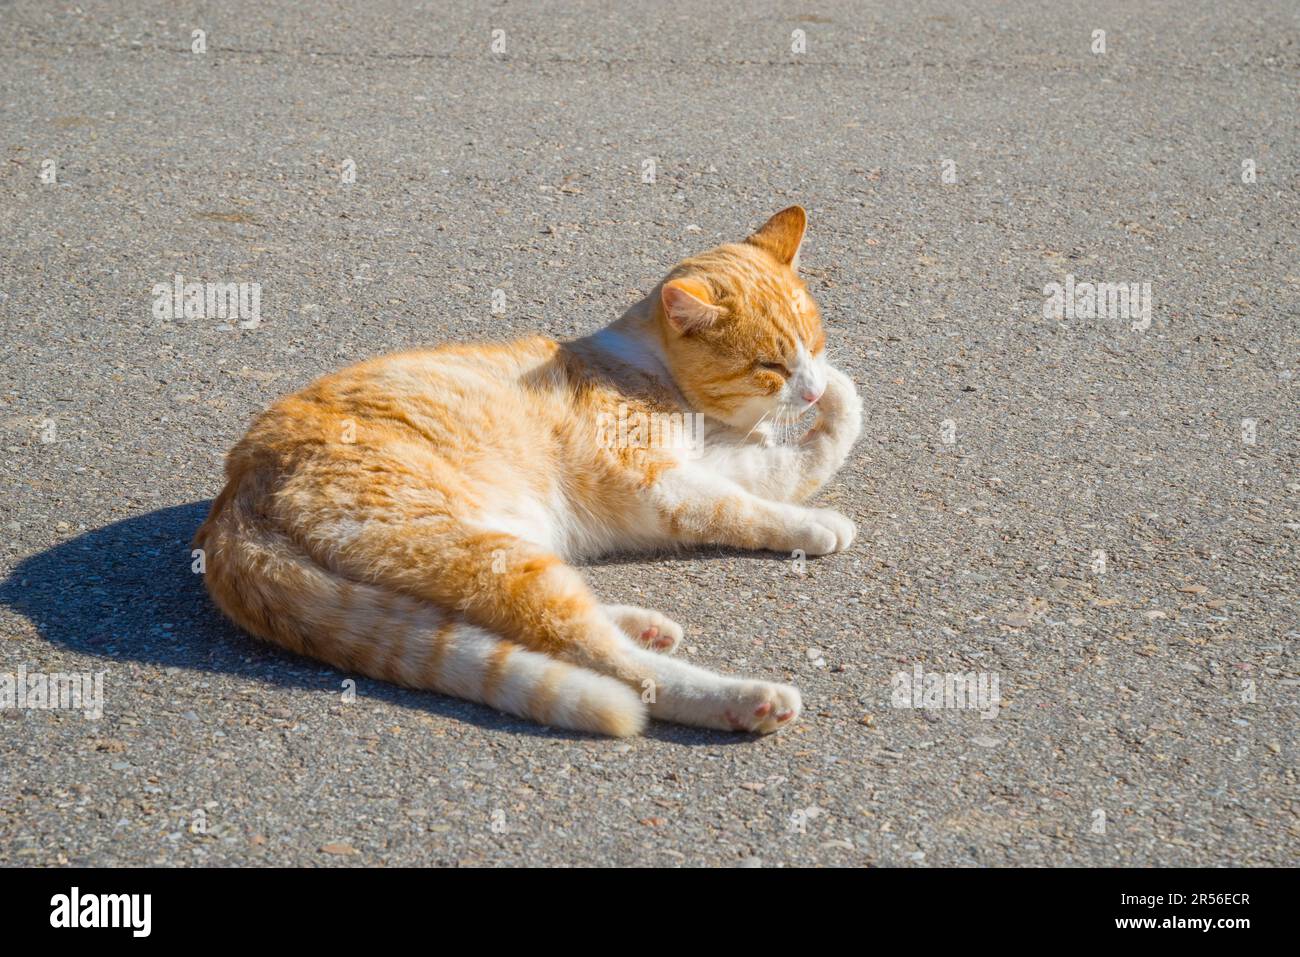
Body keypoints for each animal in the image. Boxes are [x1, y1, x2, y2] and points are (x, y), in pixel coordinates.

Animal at [195, 205, 863, 738]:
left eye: (814, 342)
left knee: (525, 626)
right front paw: (815, 523)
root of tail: (234, 504)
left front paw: (834, 395)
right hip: (481, 553)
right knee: (600, 655)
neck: (657, 373)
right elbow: (748, 505)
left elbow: (800, 460)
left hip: (495, 547)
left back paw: (641, 624)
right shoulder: (661, 483)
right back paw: (744, 700)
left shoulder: (727, 461)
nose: (809, 388)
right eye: (770, 366)